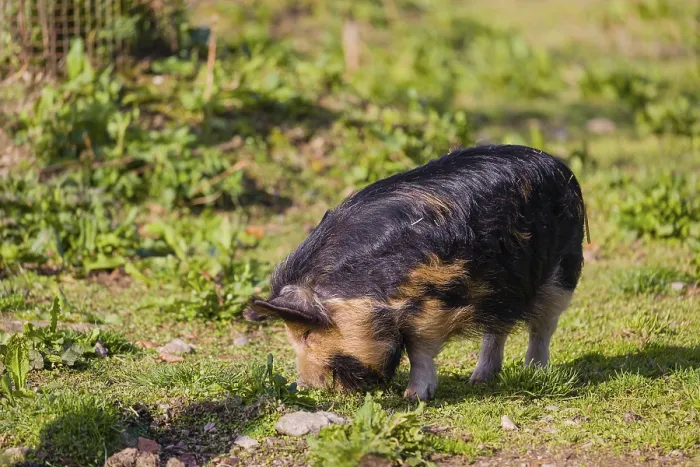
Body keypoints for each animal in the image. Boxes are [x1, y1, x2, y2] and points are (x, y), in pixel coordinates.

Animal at [245, 144, 586, 401]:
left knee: (542, 327)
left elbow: (419, 350)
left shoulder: (434, 303)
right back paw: (478, 380)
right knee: (497, 328)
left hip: (563, 272)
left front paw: (413, 397)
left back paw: (534, 373)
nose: (304, 386)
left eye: (306, 333)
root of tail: (556, 163)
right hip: (500, 288)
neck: (365, 287)